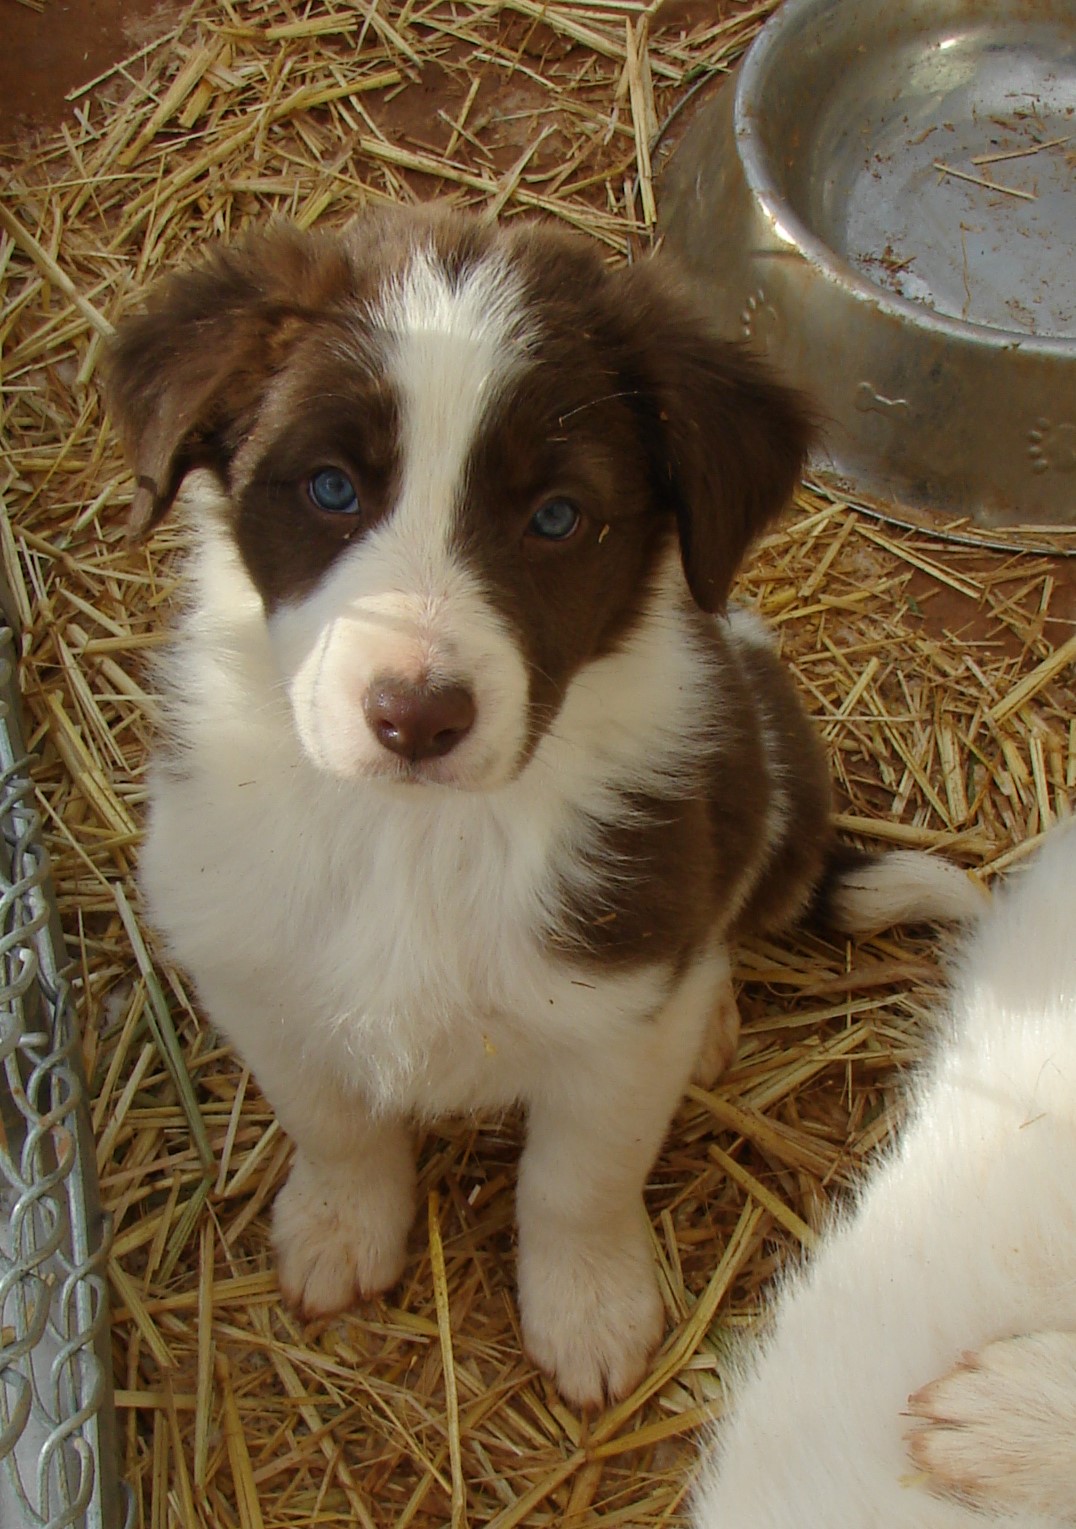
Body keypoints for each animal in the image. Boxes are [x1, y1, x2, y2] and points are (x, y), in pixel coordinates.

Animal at [109, 203, 984, 1406]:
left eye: (558, 517)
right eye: (330, 488)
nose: (416, 717)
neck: (416, 837)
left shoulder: (617, 1002)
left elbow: (578, 1179)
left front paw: (590, 1310)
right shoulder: (257, 966)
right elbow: (333, 1121)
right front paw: (339, 1227)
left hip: (762, 768)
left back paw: (712, 1017)